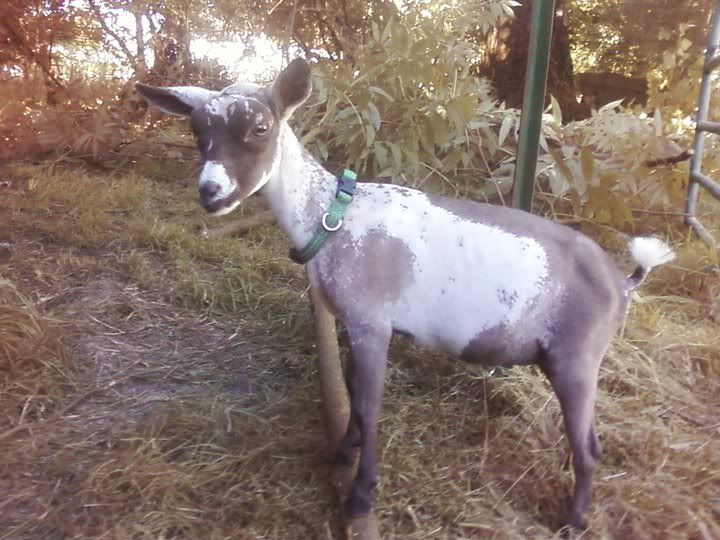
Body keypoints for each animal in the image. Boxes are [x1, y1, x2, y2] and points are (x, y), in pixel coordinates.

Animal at [137, 58, 675, 530]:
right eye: (196, 131)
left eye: (260, 128)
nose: (211, 191)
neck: (331, 219)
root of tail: (624, 281)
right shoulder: (354, 322)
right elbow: (354, 397)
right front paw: (342, 454)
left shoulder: (373, 322)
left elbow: (371, 406)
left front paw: (360, 495)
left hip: (577, 355)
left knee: (588, 447)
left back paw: (574, 520)